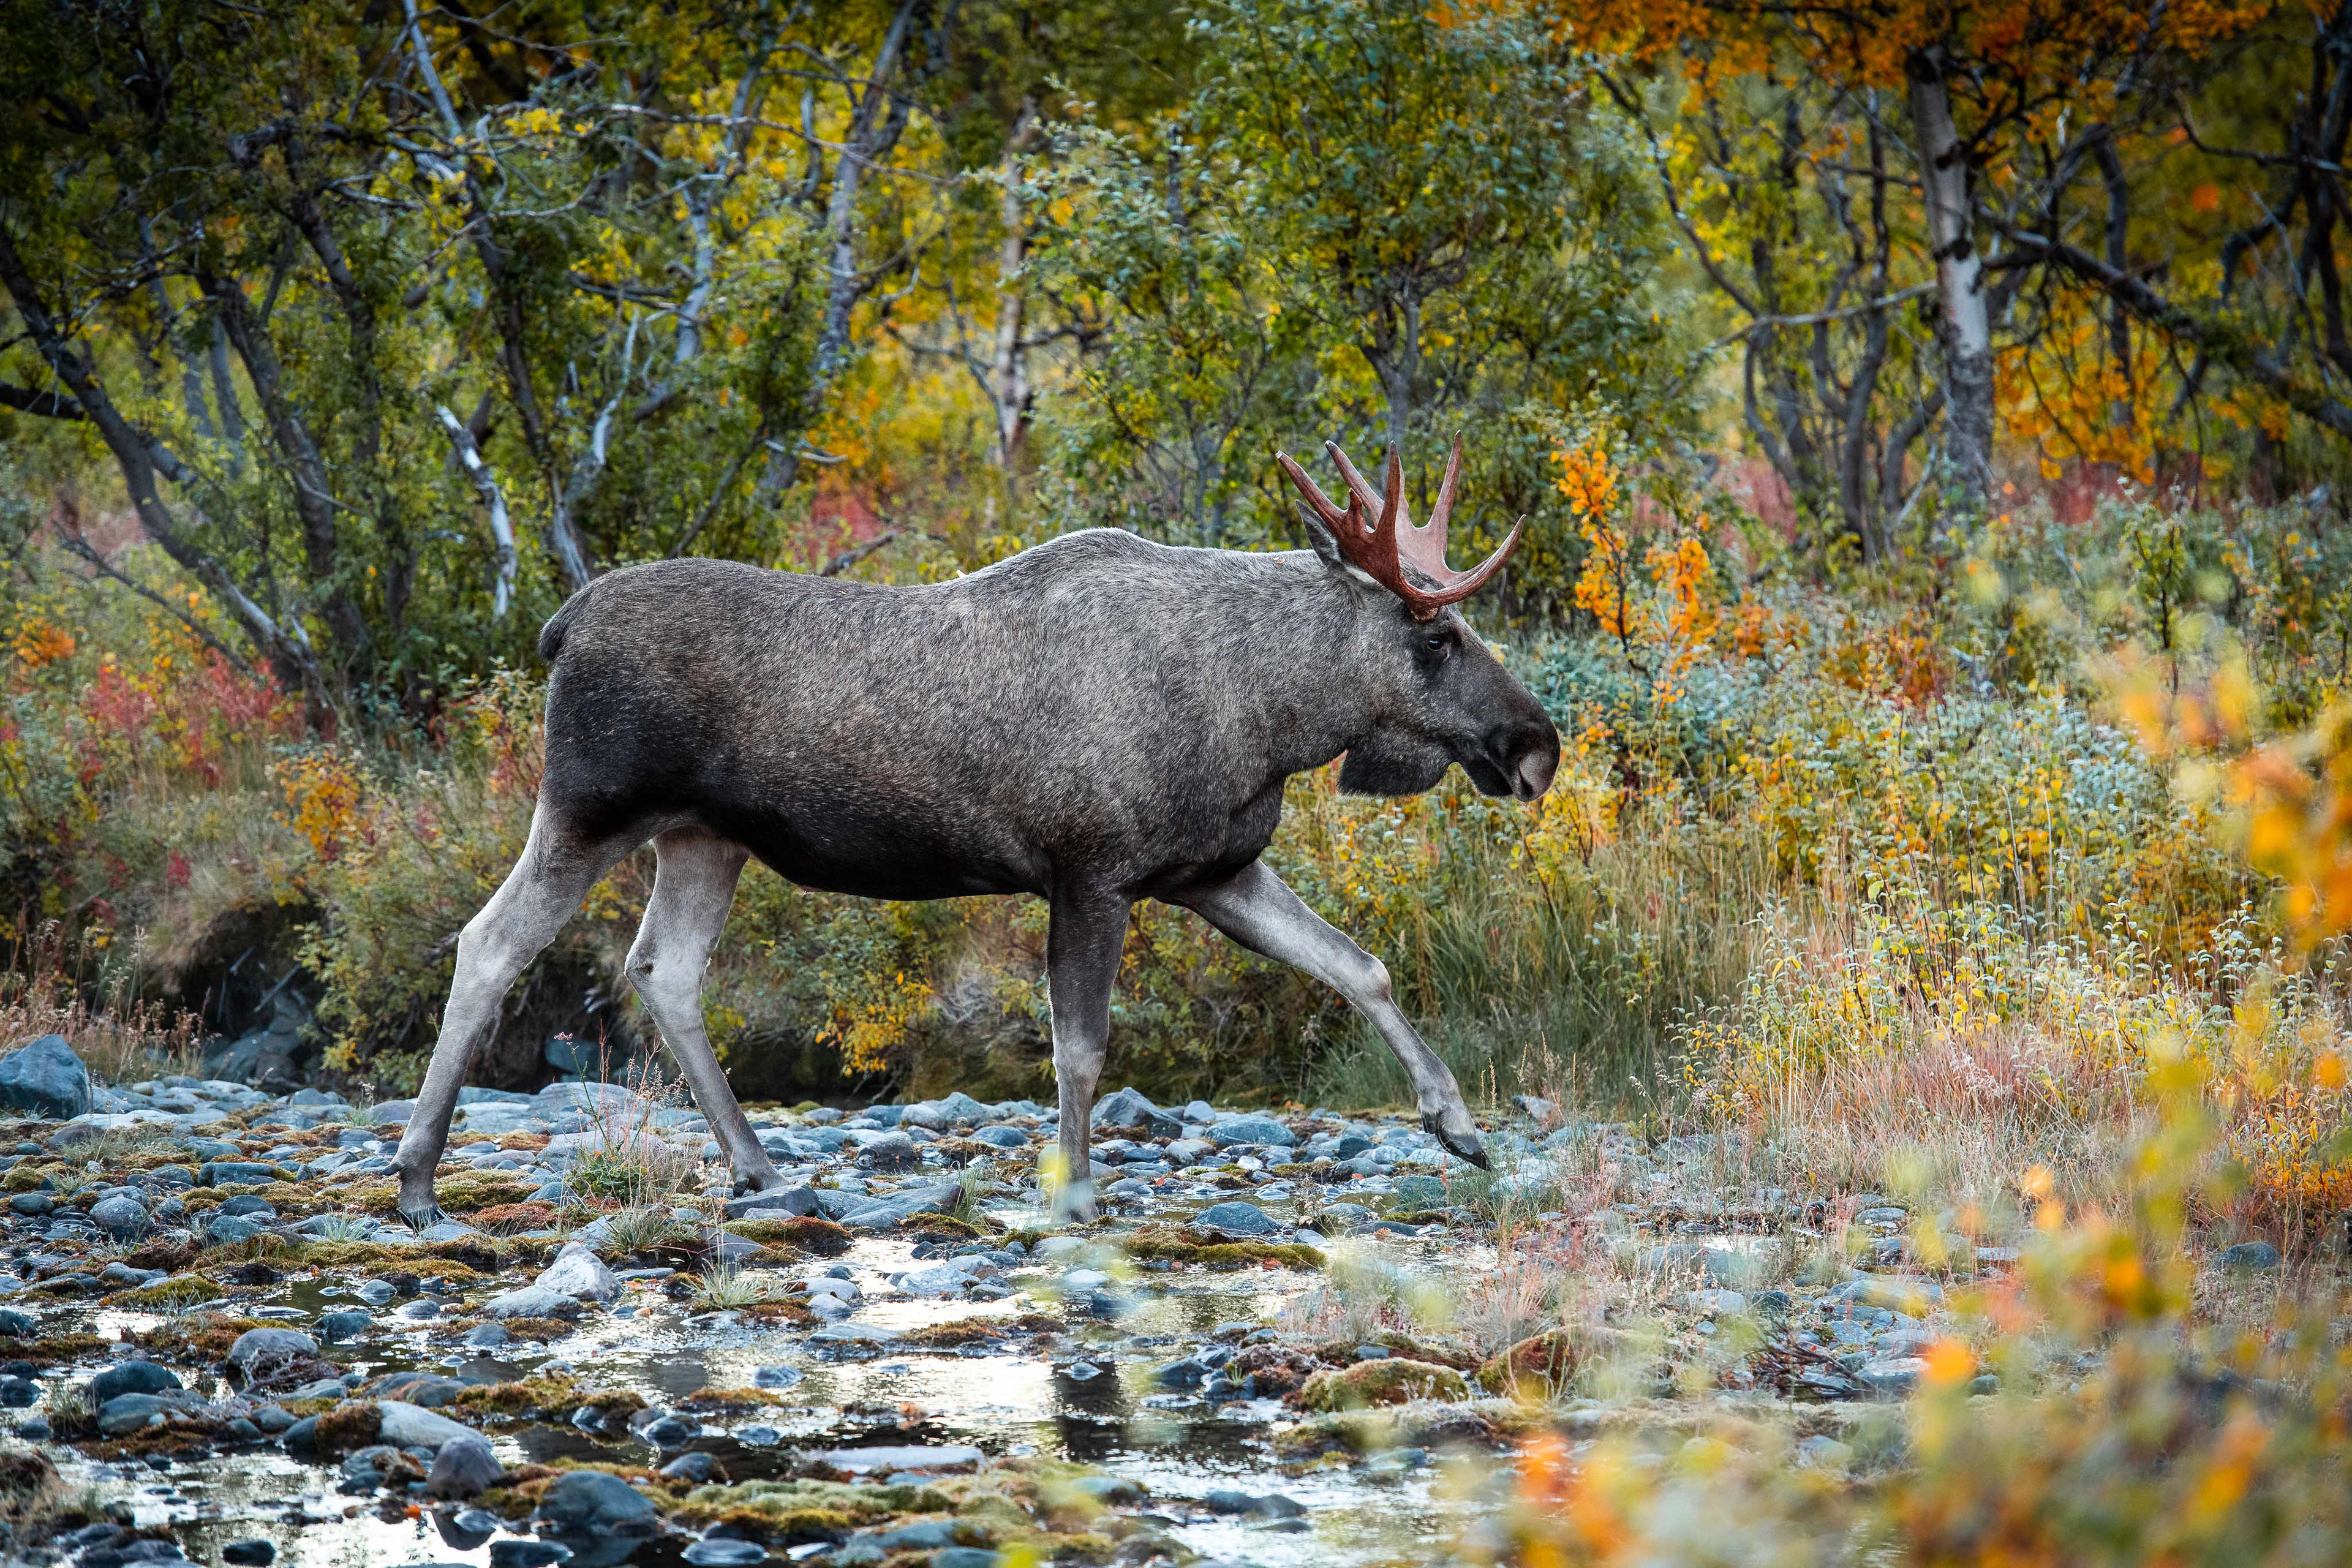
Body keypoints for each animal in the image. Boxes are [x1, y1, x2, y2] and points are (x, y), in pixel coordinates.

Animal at [390, 439, 1560, 1226]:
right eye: (1437, 633)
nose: (1538, 745)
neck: (1269, 715)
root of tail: (561, 624)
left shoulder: (1215, 870)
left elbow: (1359, 966)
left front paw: (1459, 1127)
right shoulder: (1091, 871)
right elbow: (1080, 1046)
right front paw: (1076, 1196)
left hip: (704, 838)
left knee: (663, 970)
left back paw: (759, 1166)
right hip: (589, 809)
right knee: (489, 944)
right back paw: (415, 1181)